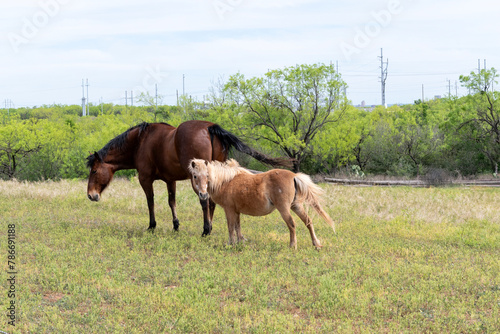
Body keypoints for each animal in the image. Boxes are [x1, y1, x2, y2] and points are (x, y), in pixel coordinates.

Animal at [85, 120, 290, 235]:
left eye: (94, 171)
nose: (90, 195)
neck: (140, 141)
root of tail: (209, 127)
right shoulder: (170, 180)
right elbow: (172, 202)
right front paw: (176, 226)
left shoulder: (145, 179)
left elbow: (150, 202)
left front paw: (152, 226)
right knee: (211, 202)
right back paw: (210, 226)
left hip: (197, 179)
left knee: (205, 200)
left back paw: (206, 230)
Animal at [188, 159, 336, 248]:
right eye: (195, 176)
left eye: (207, 176)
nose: (203, 194)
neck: (226, 181)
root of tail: (294, 176)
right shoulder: (236, 211)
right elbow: (237, 226)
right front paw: (240, 241)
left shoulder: (229, 210)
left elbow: (230, 227)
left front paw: (231, 243)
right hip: (296, 206)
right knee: (308, 221)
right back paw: (316, 244)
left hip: (284, 209)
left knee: (292, 224)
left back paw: (292, 245)